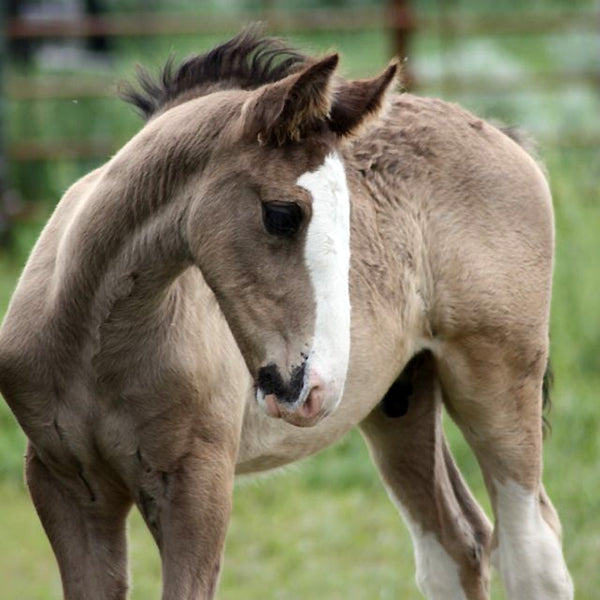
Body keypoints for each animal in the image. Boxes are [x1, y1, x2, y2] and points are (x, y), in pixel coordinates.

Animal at [0, 28, 572, 600]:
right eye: (282, 215)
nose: (316, 388)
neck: (96, 343)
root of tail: (500, 133)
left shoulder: (197, 488)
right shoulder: (64, 484)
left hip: (497, 377)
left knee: (530, 549)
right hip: (402, 399)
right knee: (456, 543)